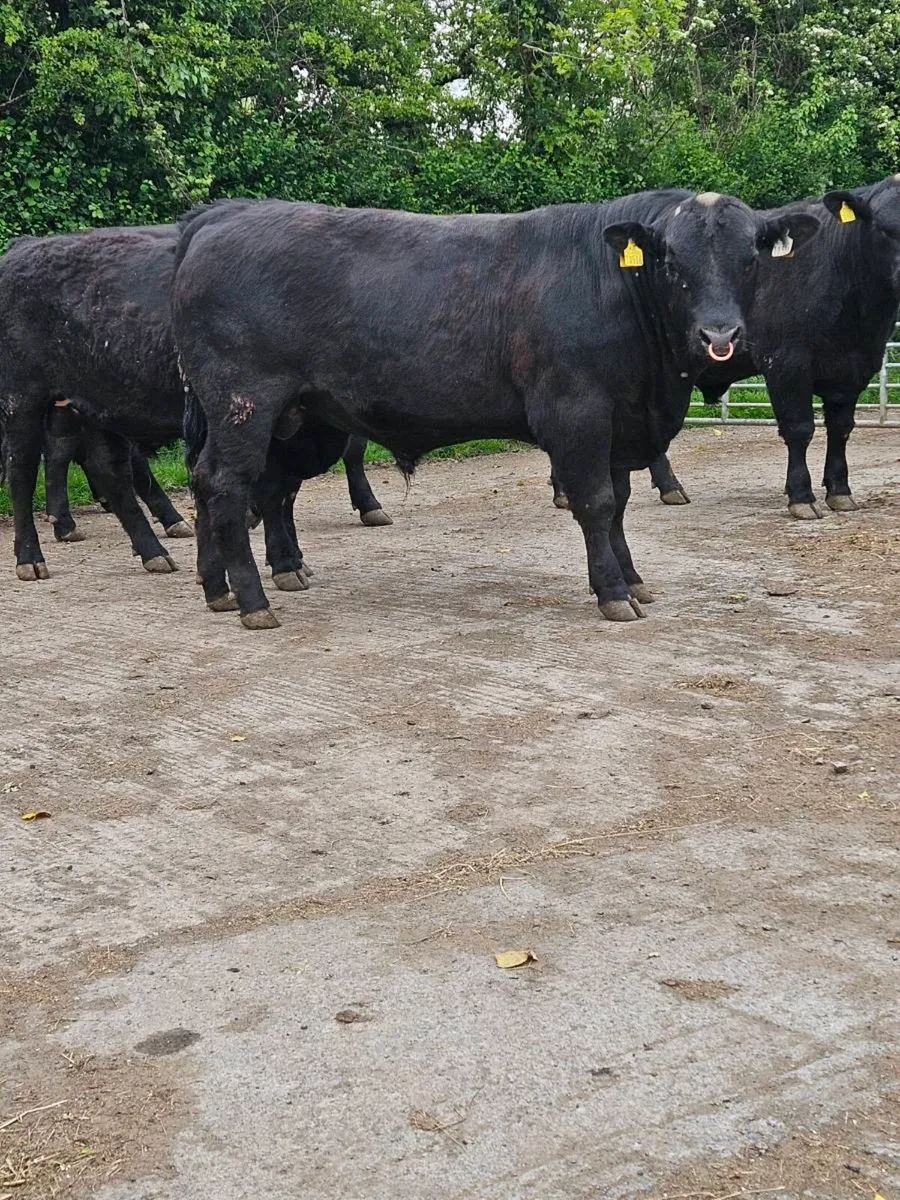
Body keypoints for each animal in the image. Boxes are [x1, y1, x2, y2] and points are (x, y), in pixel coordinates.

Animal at [0, 224, 389, 585]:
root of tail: (24, 247)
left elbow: (290, 488)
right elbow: (281, 485)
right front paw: (285, 562)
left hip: (95, 407)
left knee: (104, 470)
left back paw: (152, 550)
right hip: (22, 401)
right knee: (23, 472)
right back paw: (31, 558)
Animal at [171, 189, 820, 629]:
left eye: (749, 259)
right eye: (672, 264)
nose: (720, 334)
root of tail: (222, 215)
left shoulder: (618, 422)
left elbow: (618, 504)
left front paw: (633, 580)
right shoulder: (577, 412)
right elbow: (595, 503)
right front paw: (613, 591)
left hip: (291, 420)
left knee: (240, 485)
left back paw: (229, 585)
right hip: (243, 405)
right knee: (226, 484)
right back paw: (252, 599)